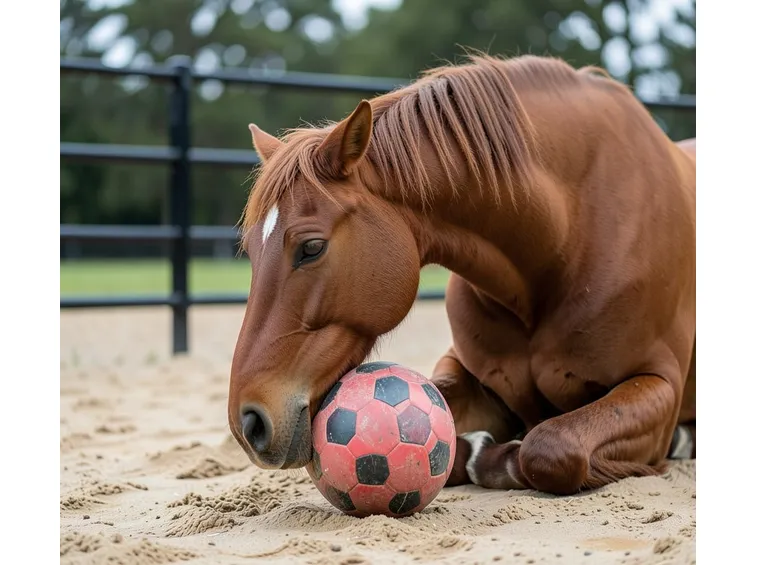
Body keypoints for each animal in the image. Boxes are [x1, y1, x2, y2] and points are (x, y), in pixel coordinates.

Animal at [228, 53, 696, 496]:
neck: (571, 236)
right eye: (251, 250)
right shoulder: (469, 371)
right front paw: (478, 449)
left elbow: (550, 447)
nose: (248, 423)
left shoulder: (658, 384)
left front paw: (498, 454)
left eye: (311, 247)